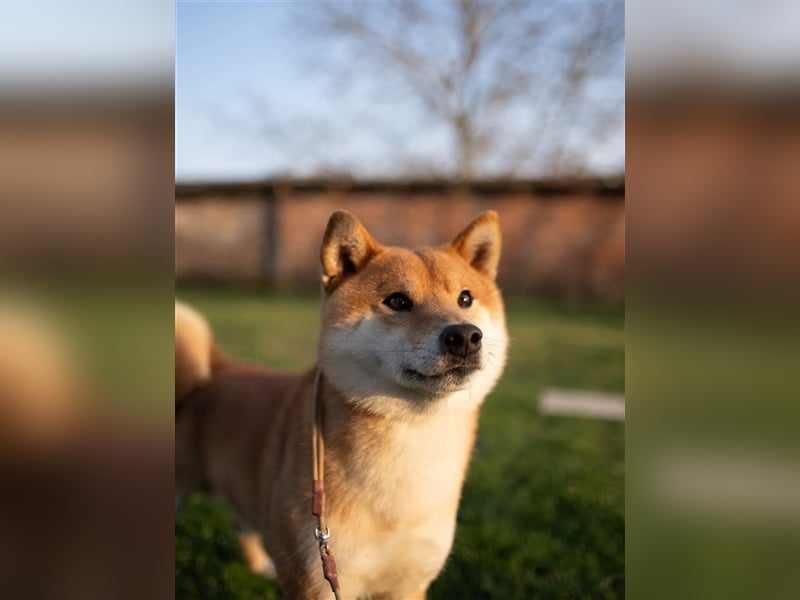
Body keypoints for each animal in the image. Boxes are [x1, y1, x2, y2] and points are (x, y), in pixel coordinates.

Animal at [178, 209, 510, 596]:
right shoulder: (315, 577)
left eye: (466, 299)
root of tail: (216, 367)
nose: (465, 336)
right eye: (398, 301)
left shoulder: (408, 583)